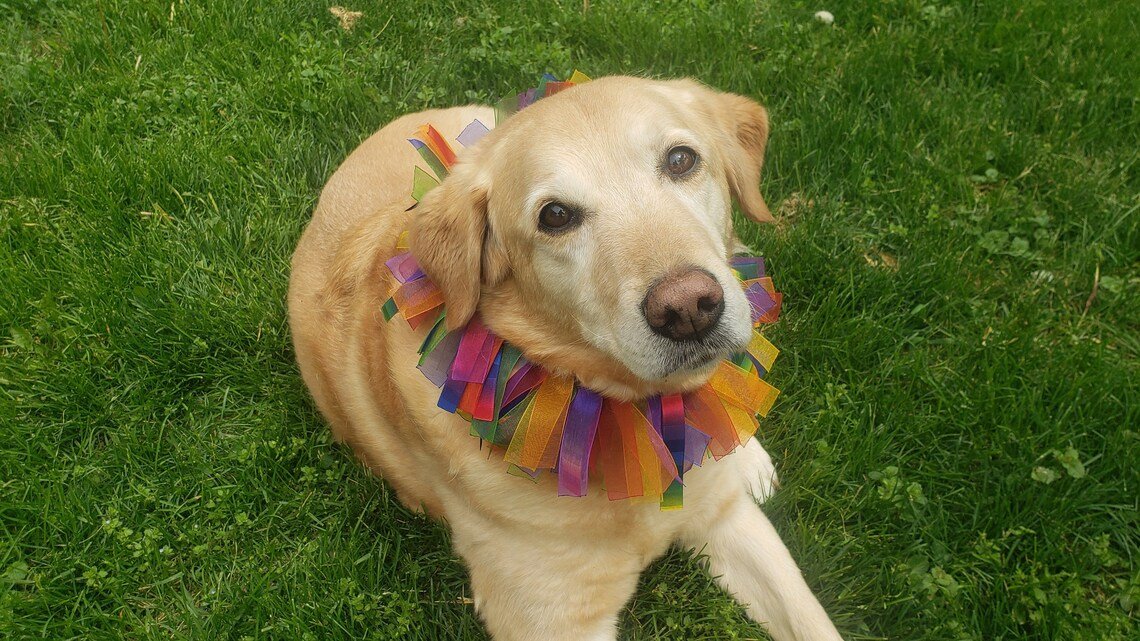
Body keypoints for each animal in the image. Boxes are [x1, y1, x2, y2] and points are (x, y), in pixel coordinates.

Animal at [289, 75, 843, 638]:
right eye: (555, 216)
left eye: (681, 160)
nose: (688, 308)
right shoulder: (554, 621)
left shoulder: (728, 519)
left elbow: (813, 620)